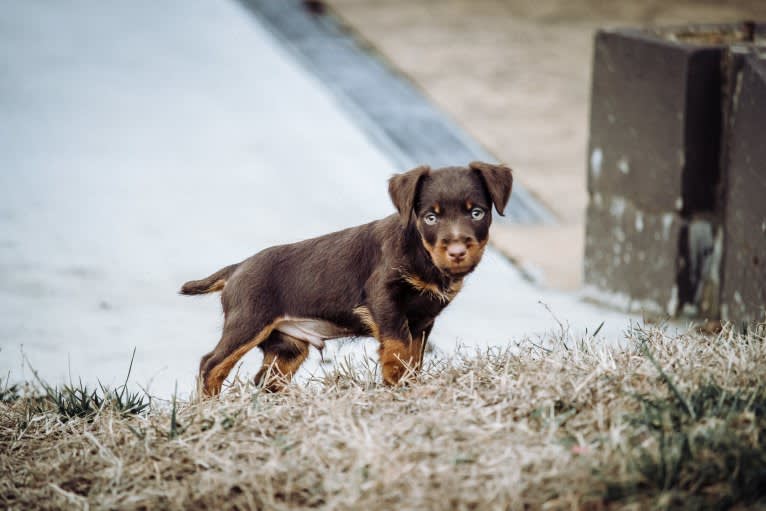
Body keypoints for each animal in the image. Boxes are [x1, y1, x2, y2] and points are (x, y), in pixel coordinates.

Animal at [182, 162, 512, 398]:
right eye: (430, 217)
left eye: (477, 213)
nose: (457, 252)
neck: (421, 252)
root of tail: (236, 268)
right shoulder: (384, 298)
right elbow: (397, 345)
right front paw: (394, 379)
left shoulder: (423, 320)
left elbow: (414, 356)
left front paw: (410, 385)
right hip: (249, 322)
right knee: (211, 364)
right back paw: (209, 407)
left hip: (288, 345)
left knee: (266, 378)